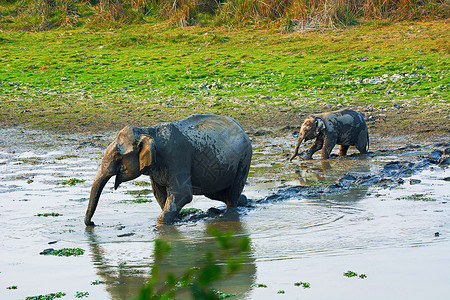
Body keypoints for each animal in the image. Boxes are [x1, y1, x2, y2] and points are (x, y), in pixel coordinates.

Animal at [85, 114, 253, 225]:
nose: (93, 224)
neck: (148, 131)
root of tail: (242, 128)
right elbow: (159, 194)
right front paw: (176, 219)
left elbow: (182, 193)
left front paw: (162, 224)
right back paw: (241, 201)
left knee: (232, 192)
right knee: (214, 192)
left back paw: (229, 213)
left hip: (244, 160)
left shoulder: (177, 156)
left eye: (118, 155)